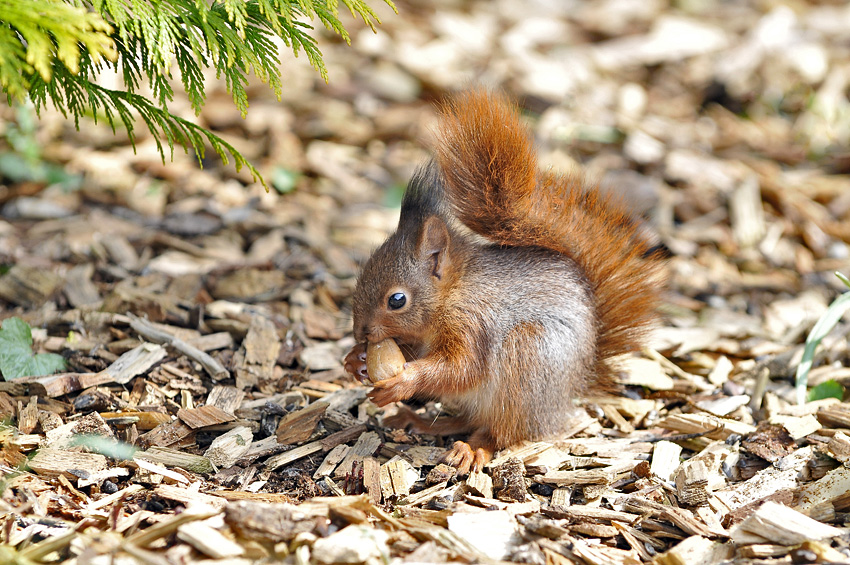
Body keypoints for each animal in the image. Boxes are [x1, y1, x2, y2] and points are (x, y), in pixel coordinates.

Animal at [342, 90, 660, 474]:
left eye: (397, 300)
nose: (360, 333)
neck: (454, 292)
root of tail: (567, 394)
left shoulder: (473, 322)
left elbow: (460, 368)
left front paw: (404, 380)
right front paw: (355, 360)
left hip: (526, 358)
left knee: (502, 432)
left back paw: (473, 448)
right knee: (468, 419)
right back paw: (421, 421)